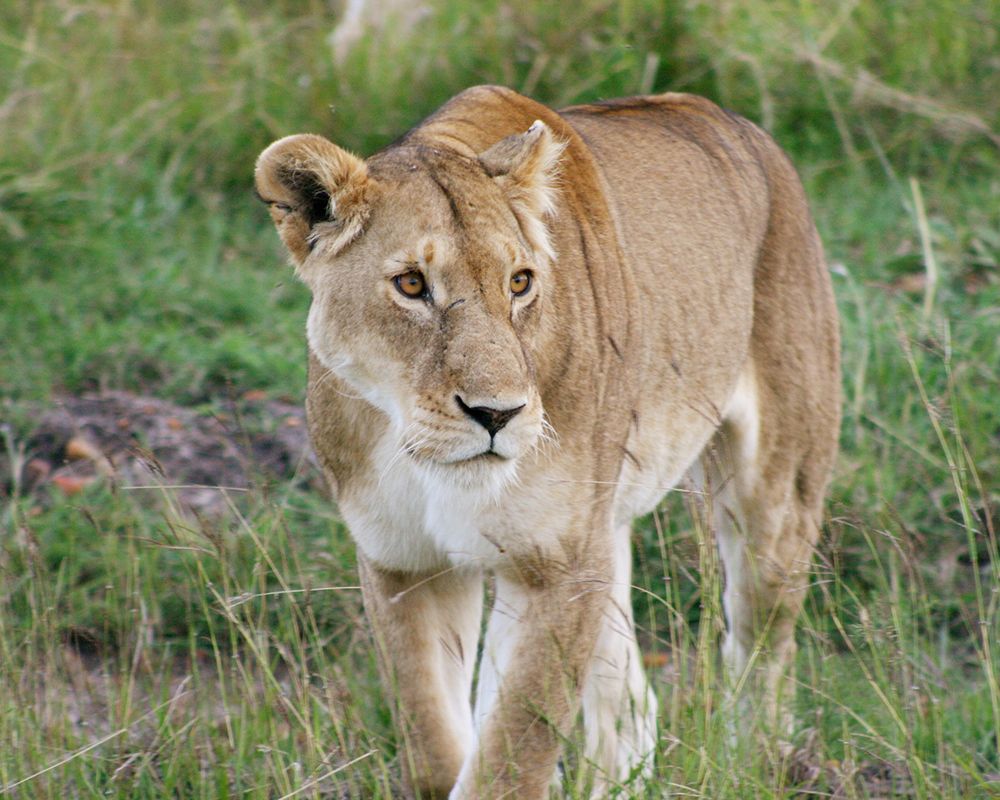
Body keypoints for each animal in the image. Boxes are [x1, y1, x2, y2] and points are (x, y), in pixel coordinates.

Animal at [254, 85, 840, 798]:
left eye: (520, 282)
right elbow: (435, 746)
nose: (497, 414)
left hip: (776, 499)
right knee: (633, 707)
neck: (412, 449)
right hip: (603, 534)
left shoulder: (552, 562)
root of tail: (732, 119)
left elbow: (510, 757)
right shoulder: (404, 562)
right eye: (412, 284)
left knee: (761, 649)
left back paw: (755, 762)